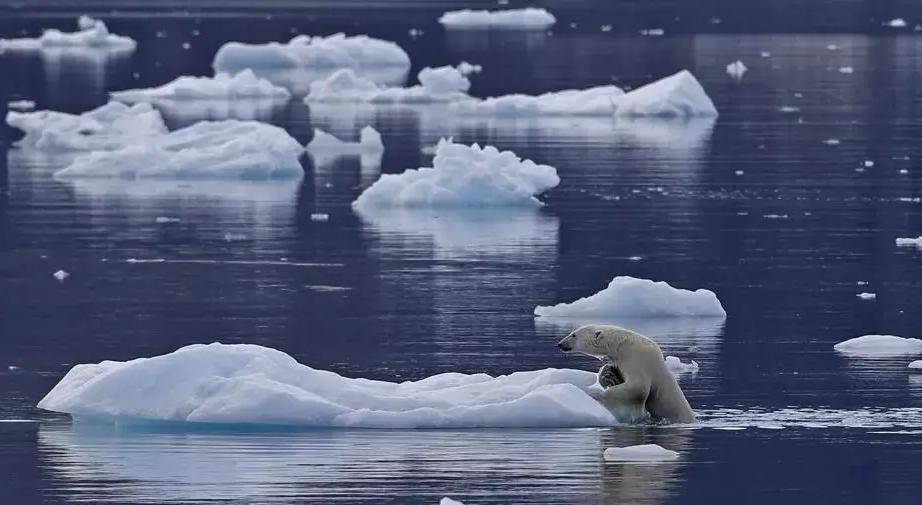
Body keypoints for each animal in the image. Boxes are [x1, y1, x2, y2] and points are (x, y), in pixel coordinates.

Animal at [556, 322, 692, 422]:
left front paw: (594, 394)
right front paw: (608, 374)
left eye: (574, 335)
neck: (622, 345)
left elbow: (638, 388)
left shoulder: (637, 359)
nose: (560, 344)